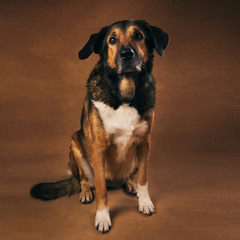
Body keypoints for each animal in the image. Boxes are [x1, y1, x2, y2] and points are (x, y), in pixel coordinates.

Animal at [30, 19, 169, 233]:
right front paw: (103, 217)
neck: (124, 95)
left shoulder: (145, 143)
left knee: (128, 177)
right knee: (83, 180)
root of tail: (115, 181)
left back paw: (130, 184)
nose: (127, 54)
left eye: (138, 36)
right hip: (75, 145)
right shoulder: (99, 147)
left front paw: (145, 202)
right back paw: (86, 192)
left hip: (134, 160)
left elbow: (144, 179)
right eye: (112, 40)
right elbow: (102, 189)